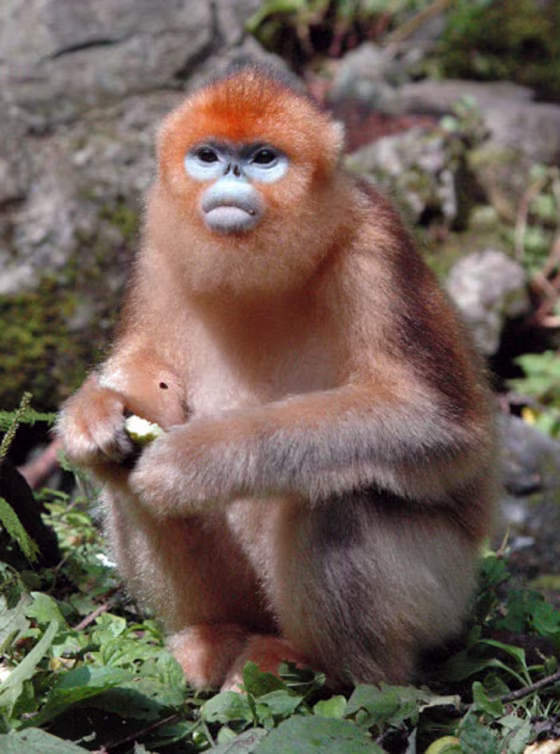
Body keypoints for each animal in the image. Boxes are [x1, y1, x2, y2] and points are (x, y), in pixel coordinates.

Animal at [57, 61, 496, 691]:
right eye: (209, 156)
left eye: (264, 157)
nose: (232, 174)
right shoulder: (156, 245)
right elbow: (144, 368)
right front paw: (92, 412)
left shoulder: (377, 244)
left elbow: (438, 424)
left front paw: (200, 459)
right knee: (126, 483)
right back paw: (213, 636)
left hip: (442, 594)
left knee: (340, 499)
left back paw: (324, 669)